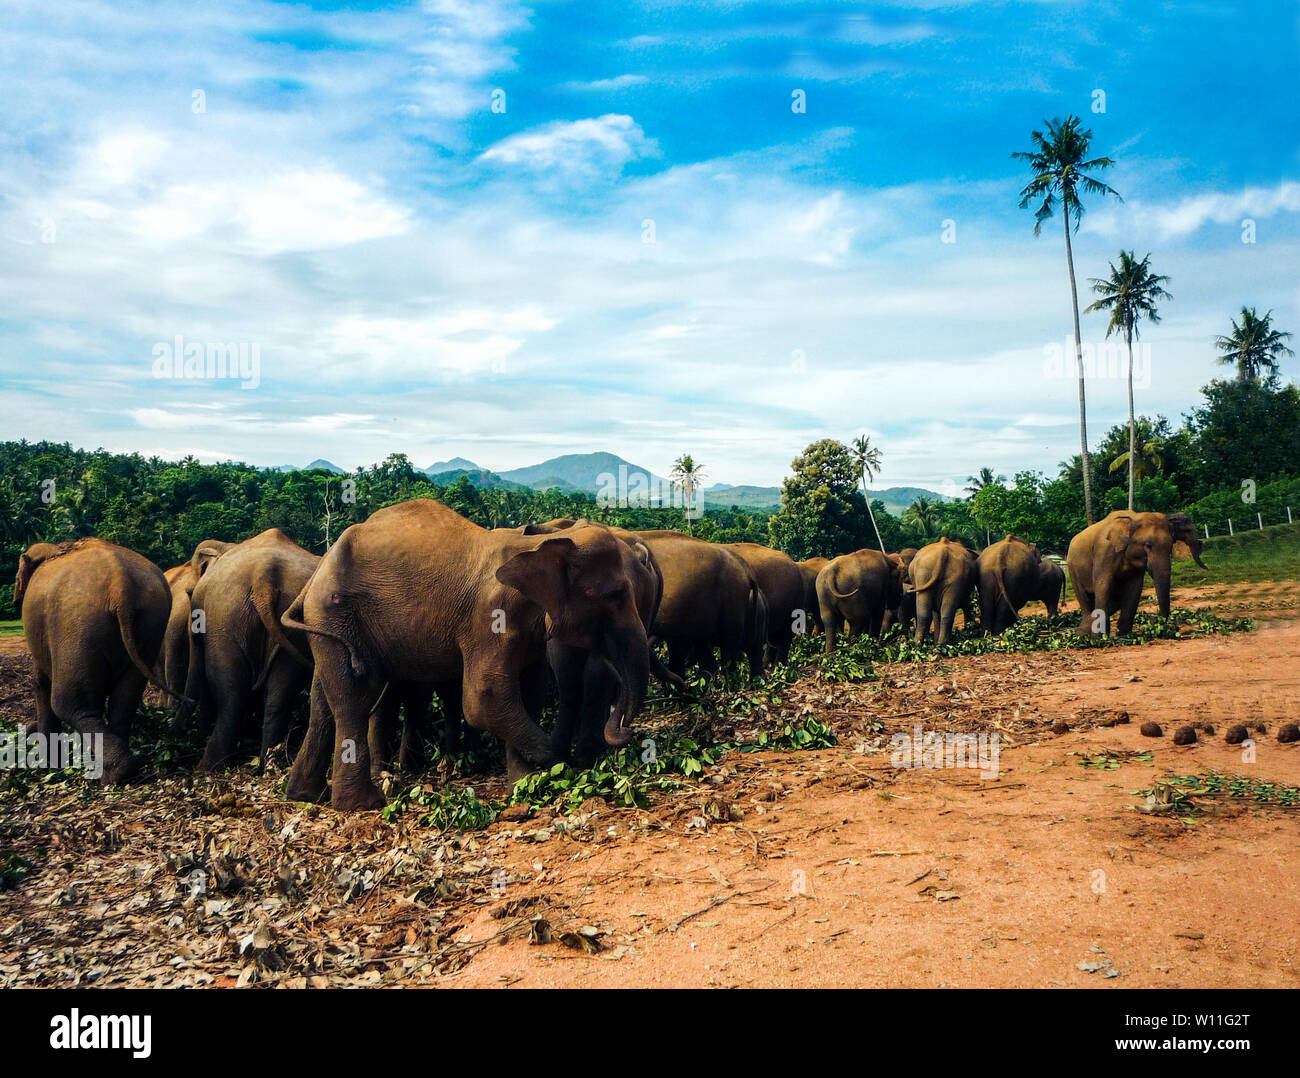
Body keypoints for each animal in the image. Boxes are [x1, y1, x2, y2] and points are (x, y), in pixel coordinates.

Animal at [13, 538, 171, 783]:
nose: (28, 728)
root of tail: (121, 585)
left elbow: (40, 681)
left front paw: (44, 761)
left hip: (79, 629)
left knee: (70, 704)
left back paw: (112, 774)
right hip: (150, 625)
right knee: (124, 700)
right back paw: (116, 773)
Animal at [184, 529, 320, 771]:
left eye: (189, 593)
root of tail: (263, 577)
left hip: (224, 620)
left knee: (230, 694)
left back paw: (206, 767)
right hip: (291, 625)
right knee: (278, 696)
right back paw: (268, 763)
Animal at [282, 500, 652, 811]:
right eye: (615, 595)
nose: (628, 734)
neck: (542, 544)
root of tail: (316, 574)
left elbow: (528, 691)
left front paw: (526, 785)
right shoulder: (491, 616)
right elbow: (484, 698)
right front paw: (554, 762)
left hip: (330, 624)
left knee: (323, 700)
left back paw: (307, 795)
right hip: (336, 613)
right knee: (354, 696)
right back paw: (364, 803)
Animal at [1066, 511, 1206, 637]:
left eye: (1170, 546)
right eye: (1148, 545)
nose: (1156, 620)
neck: (1135, 517)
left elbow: (1134, 588)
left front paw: (1124, 635)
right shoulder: (1104, 552)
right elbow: (1103, 586)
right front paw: (1099, 639)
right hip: (1072, 569)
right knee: (1084, 597)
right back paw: (1082, 633)